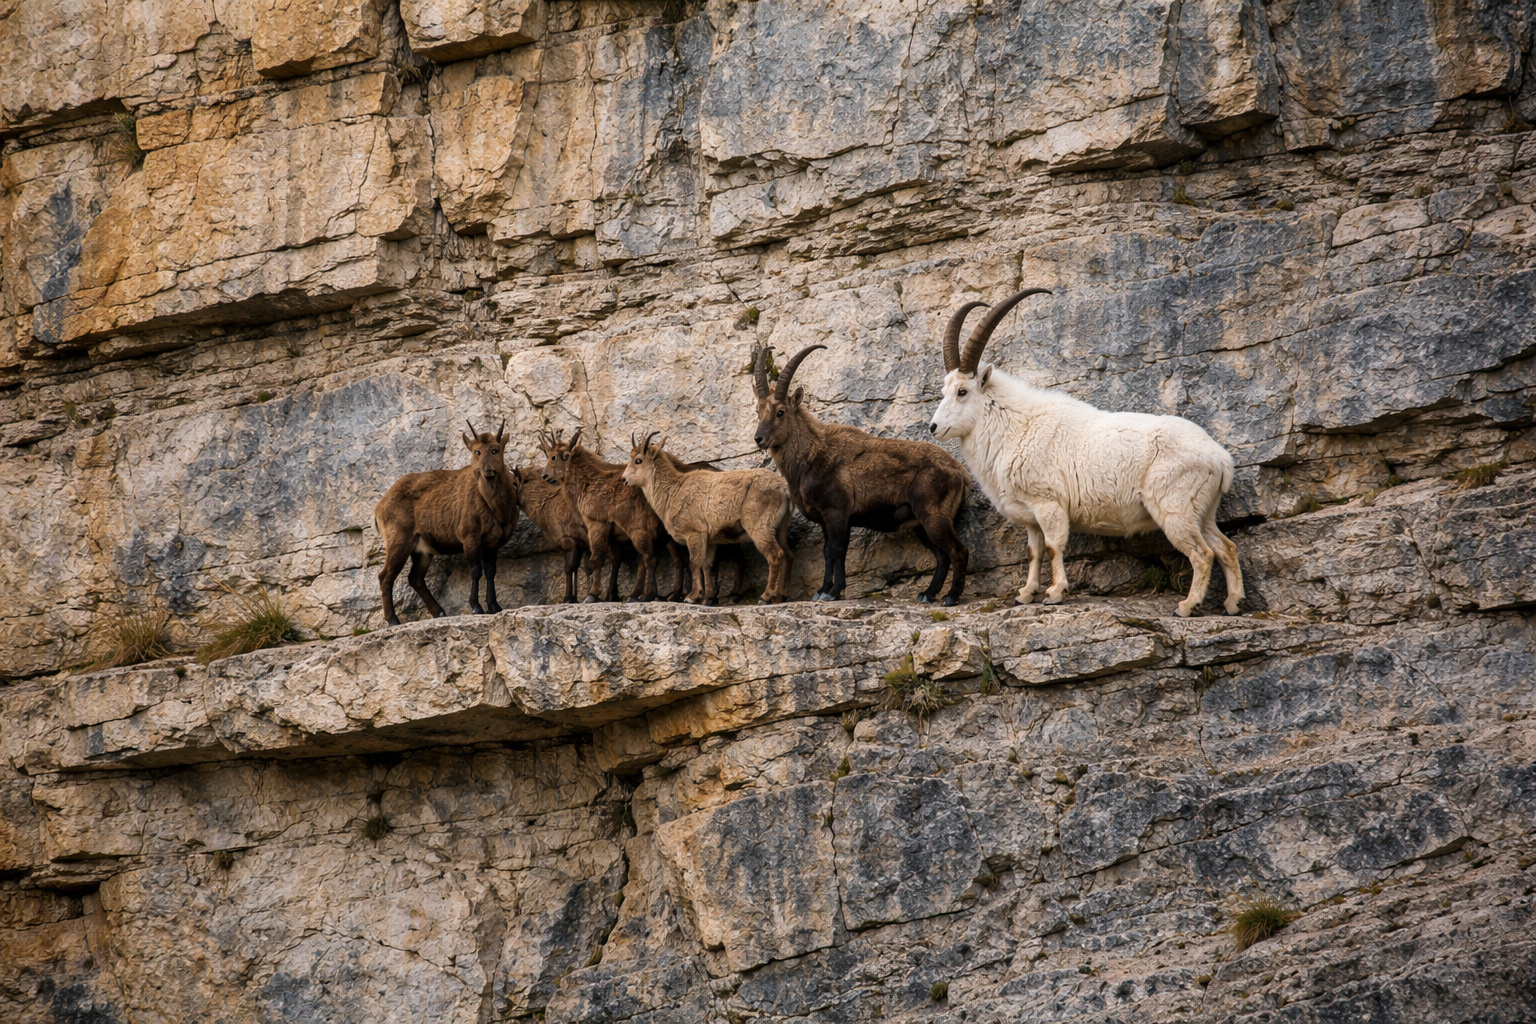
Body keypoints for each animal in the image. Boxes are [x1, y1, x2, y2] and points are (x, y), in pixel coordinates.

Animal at [374, 420, 521, 626]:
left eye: (495, 449)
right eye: (476, 451)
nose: (487, 471)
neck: (495, 506)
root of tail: (378, 509)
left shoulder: (493, 542)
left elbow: (491, 571)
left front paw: (495, 607)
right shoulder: (469, 536)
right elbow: (476, 570)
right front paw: (476, 607)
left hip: (422, 549)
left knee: (415, 578)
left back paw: (440, 612)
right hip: (398, 540)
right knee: (385, 576)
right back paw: (393, 619)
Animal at [539, 428, 685, 602]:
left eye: (556, 456)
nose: (545, 476)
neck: (587, 483)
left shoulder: (598, 523)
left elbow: (596, 558)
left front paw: (592, 595)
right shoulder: (616, 536)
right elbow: (615, 560)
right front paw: (610, 595)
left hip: (640, 529)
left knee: (653, 558)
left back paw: (647, 594)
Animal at [621, 432, 793, 604]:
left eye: (638, 460)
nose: (624, 479)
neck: (673, 491)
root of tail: (783, 488)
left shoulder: (695, 532)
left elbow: (694, 563)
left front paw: (692, 596)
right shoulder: (710, 540)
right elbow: (706, 566)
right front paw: (707, 599)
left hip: (760, 525)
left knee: (775, 555)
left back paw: (766, 596)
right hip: (780, 527)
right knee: (788, 554)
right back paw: (781, 596)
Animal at [752, 345, 971, 605]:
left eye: (781, 412)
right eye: (757, 410)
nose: (759, 438)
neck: (812, 456)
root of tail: (960, 473)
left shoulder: (837, 512)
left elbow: (835, 550)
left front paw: (833, 592)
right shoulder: (828, 519)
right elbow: (829, 553)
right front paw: (823, 590)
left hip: (933, 514)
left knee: (958, 550)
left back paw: (951, 597)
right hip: (921, 523)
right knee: (941, 555)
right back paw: (927, 594)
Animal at [929, 288, 1244, 617]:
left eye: (962, 391)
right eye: (943, 391)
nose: (933, 427)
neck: (1017, 428)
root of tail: (1221, 459)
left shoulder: (1049, 503)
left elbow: (1053, 547)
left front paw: (1055, 593)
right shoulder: (1031, 517)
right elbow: (1033, 552)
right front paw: (1025, 594)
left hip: (1175, 508)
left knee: (1202, 553)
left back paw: (1186, 606)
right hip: (1202, 511)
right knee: (1225, 546)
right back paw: (1232, 604)